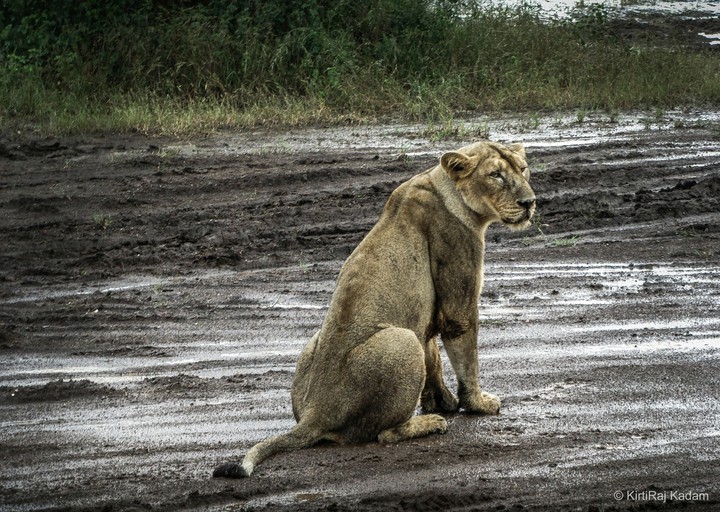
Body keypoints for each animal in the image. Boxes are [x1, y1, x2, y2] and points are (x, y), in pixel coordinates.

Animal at [213, 140, 536, 478]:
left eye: (523, 169)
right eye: (495, 175)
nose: (529, 203)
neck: (446, 188)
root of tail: (316, 413)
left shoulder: (422, 316)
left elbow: (432, 357)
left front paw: (442, 401)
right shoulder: (457, 292)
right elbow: (466, 355)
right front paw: (477, 404)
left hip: (323, 342)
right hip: (402, 339)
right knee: (383, 434)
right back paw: (427, 424)